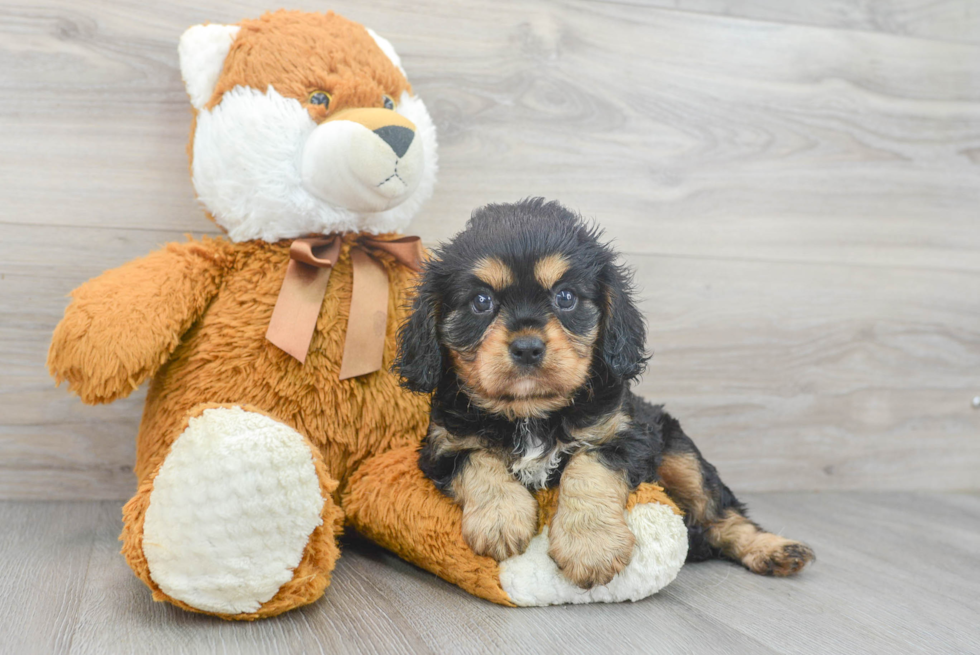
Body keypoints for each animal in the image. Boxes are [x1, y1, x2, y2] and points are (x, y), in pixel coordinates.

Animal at [394, 197, 816, 588]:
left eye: (565, 297)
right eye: (481, 302)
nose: (528, 347)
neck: (531, 414)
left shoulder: (624, 436)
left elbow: (588, 468)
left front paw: (590, 546)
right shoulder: (444, 445)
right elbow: (480, 461)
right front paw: (501, 518)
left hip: (682, 456)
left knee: (720, 515)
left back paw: (773, 549)